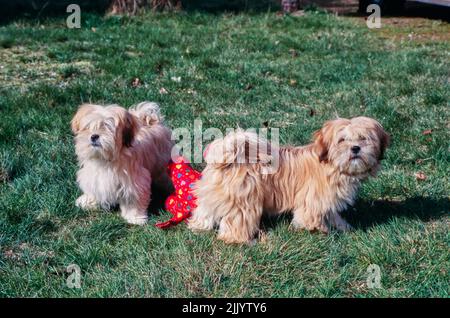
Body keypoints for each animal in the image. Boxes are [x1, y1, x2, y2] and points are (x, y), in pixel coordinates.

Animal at [188, 117, 388, 243]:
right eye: (342, 140)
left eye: (363, 138)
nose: (355, 148)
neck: (331, 164)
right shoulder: (313, 199)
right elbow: (311, 216)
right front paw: (320, 232)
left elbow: (332, 214)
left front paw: (343, 227)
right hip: (243, 201)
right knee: (237, 224)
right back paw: (244, 241)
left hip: (211, 195)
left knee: (205, 211)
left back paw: (199, 226)